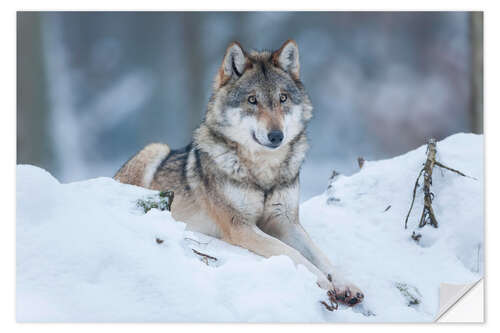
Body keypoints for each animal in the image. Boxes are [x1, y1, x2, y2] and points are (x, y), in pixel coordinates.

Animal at [114, 39, 364, 306]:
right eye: (252, 100)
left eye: (282, 98)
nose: (276, 135)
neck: (264, 174)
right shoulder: (240, 226)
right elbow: (292, 253)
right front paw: (322, 281)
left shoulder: (286, 221)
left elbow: (321, 255)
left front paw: (346, 284)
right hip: (155, 148)